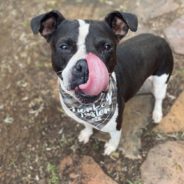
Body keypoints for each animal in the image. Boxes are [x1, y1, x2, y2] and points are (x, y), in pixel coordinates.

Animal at [30, 9, 173, 155]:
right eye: (64, 46)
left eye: (107, 46)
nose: (85, 67)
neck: (88, 107)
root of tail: (159, 38)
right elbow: (87, 124)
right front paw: (86, 133)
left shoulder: (117, 124)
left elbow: (115, 138)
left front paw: (111, 147)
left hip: (162, 79)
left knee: (159, 98)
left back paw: (157, 114)